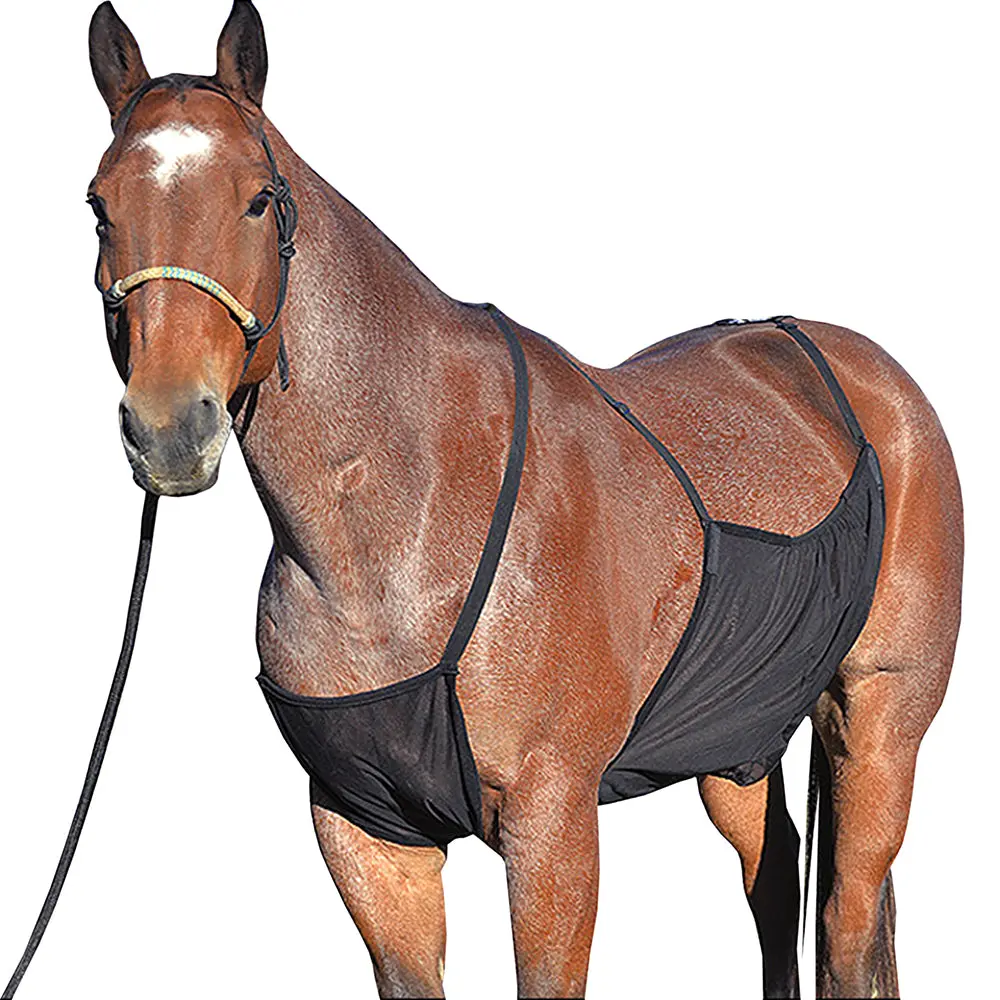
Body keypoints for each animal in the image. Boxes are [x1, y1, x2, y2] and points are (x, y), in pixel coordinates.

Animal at [85, 3, 962, 997]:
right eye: (100, 205)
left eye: (258, 200)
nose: (168, 428)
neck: (404, 524)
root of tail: (867, 377)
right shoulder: (368, 834)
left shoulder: (553, 825)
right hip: (736, 735)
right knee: (776, 882)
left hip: (880, 723)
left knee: (847, 921)